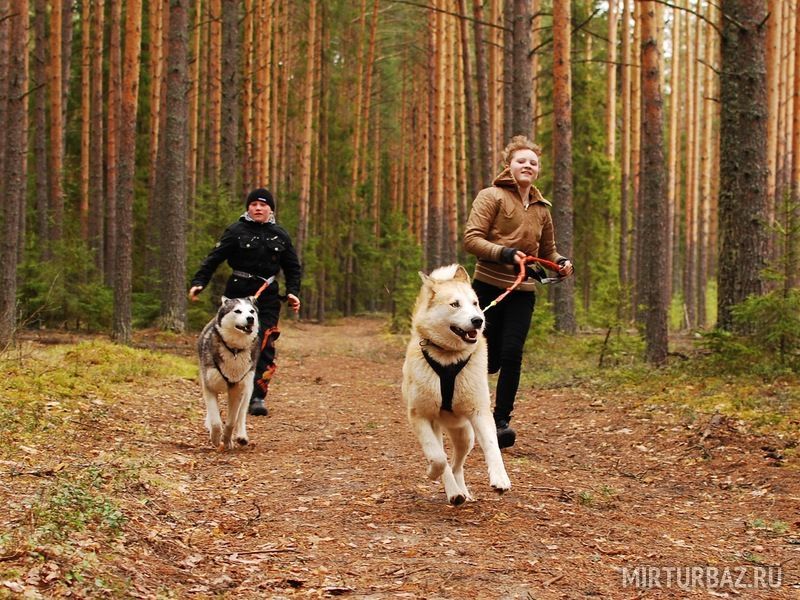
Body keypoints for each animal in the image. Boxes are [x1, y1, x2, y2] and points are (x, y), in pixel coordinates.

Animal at [197, 296, 260, 450]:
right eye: (237, 311)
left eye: (251, 311)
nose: (250, 319)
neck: (234, 350)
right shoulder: (209, 386)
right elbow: (215, 421)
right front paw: (215, 438)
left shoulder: (237, 390)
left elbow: (232, 421)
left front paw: (227, 440)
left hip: (248, 387)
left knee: (241, 414)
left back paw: (241, 436)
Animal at [402, 264, 511, 505]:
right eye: (454, 304)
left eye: (475, 303)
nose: (478, 320)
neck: (449, 358)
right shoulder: (419, 415)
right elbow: (437, 458)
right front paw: (432, 472)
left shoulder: (480, 412)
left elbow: (493, 446)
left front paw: (500, 478)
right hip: (438, 427)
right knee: (446, 461)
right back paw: (454, 492)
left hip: (465, 436)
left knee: (457, 465)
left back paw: (462, 491)